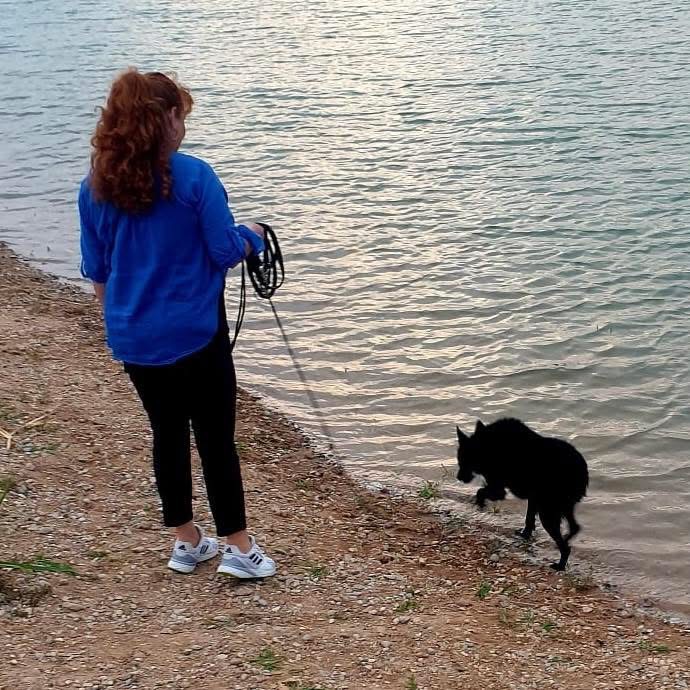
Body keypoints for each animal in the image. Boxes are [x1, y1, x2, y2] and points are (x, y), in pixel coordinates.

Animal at [455, 418, 589, 571]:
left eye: (463, 461)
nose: (458, 477)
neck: (488, 446)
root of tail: (582, 471)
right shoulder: (533, 497)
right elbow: (529, 519)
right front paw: (525, 535)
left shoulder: (498, 490)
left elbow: (480, 492)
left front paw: (480, 504)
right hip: (562, 505)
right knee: (574, 527)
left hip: (548, 511)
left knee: (565, 546)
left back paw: (560, 565)